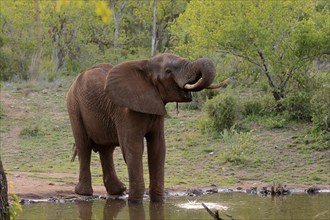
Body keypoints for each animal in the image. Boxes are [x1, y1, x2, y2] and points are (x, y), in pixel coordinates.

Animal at [67, 52, 227, 203]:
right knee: (84, 146)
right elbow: (134, 148)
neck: (146, 65)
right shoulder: (126, 111)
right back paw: (84, 192)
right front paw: (135, 202)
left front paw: (158, 201)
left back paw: (118, 190)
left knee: (106, 150)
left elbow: (158, 148)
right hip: (73, 105)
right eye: (168, 71)